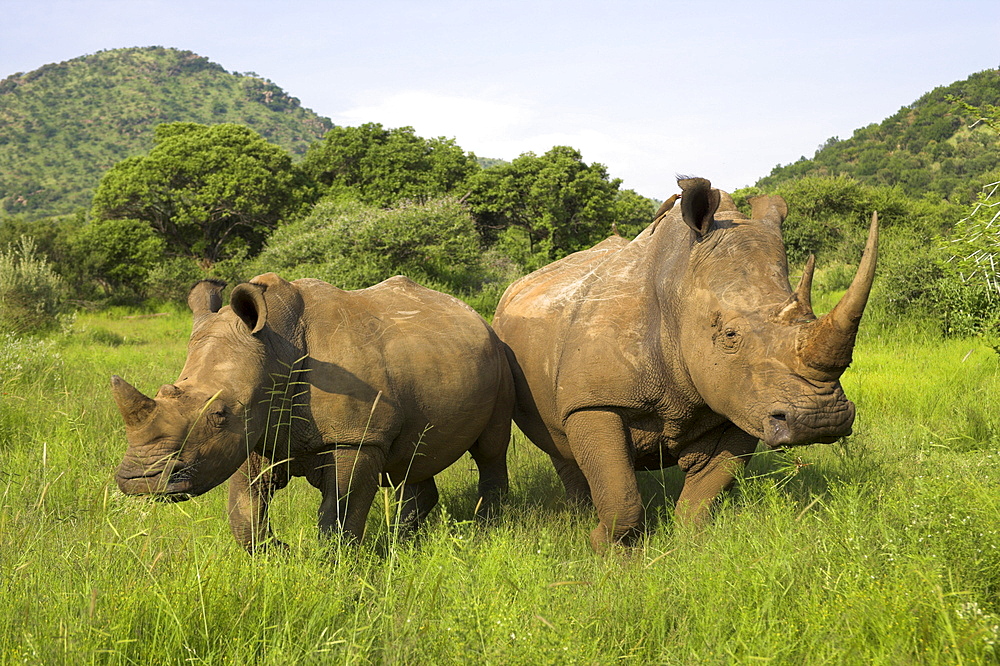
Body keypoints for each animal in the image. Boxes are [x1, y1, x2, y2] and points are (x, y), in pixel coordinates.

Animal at [113, 272, 512, 548]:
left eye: (219, 414)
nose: (139, 481)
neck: (276, 347)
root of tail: (475, 315)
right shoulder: (256, 431)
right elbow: (244, 513)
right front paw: (280, 552)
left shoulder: (355, 437)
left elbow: (340, 513)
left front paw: (335, 567)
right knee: (413, 458)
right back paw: (402, 540)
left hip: (500, 354)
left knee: (491, 448)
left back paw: (487, 527)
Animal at [492, 175, 876, 548]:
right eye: (730, 335)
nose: (821, 419)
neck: (678, 288)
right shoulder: (594, 400)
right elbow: (620, 496)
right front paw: (609, 551)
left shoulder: (739, 400)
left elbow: (705, 493)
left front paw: (691, 547)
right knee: (558, 444)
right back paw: (580, 515)